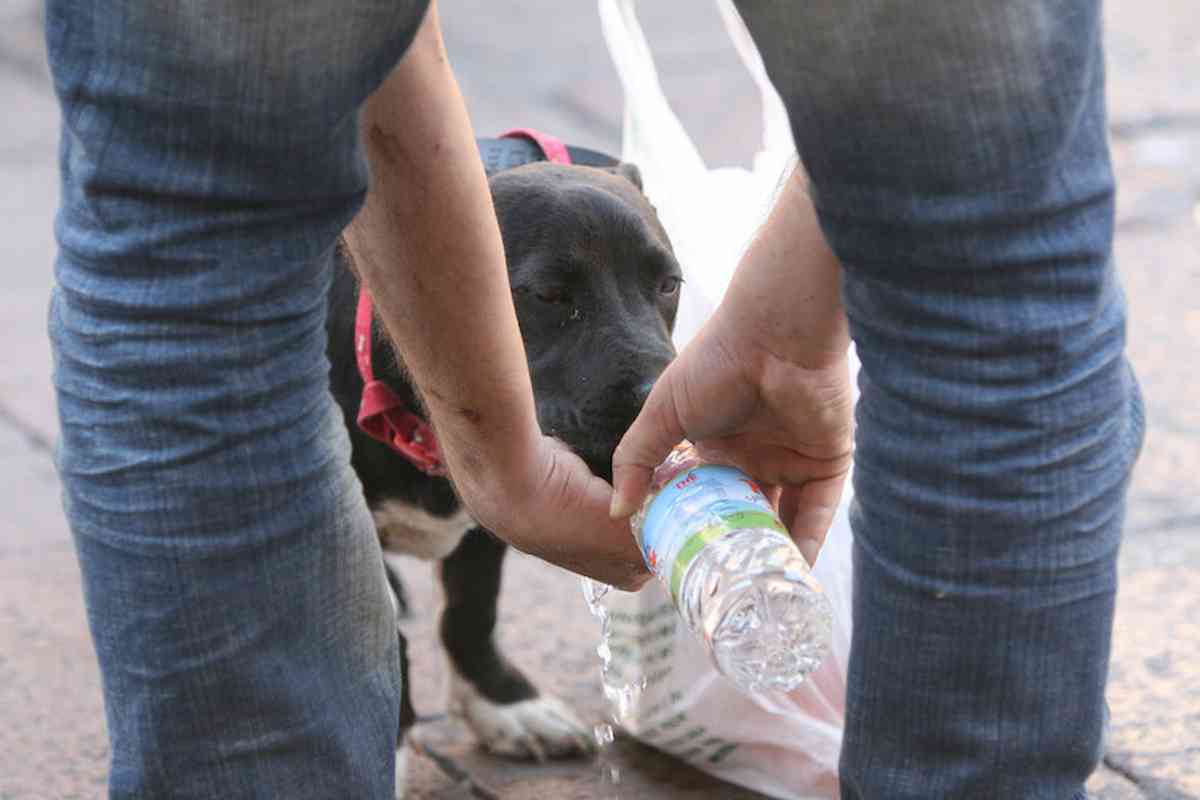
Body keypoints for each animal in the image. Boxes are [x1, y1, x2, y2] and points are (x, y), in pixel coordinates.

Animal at [328, 136, 681, 786]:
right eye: (547, 295)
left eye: (669, 284)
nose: (664, 404)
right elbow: (382, 635)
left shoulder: (494, 498)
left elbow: (472, 609)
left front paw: (502, 706)